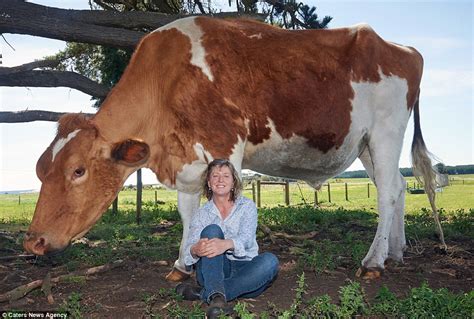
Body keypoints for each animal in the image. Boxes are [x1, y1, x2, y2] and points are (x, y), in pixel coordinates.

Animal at [22, 16, 444, 282]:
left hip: (385, 132)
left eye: (78, 170)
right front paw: (182, 264)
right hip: (365, 144)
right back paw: (395, 251)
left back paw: (374, 261)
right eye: (41, 169)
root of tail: (403, 48)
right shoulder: (186, 160)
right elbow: (189, 213)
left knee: (387, 191)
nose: (34, 241)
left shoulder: (227, 145)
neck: (166, 80)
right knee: (400, 187)